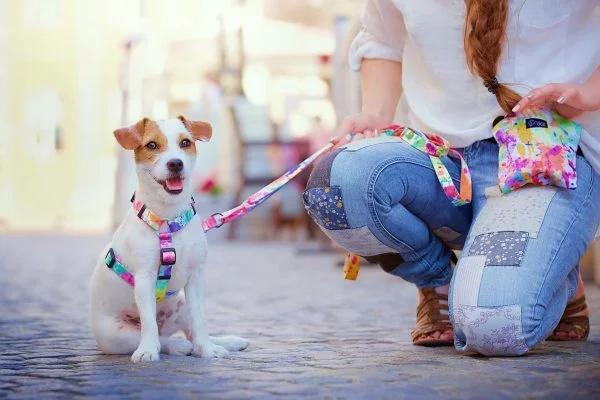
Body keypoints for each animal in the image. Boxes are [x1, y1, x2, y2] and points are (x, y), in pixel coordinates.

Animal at [89, 115, 248, 362]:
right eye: (152, 145)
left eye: (185, 142)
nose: (175, 163)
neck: (168, 221)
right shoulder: (144, 279)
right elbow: (148, 324)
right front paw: (147, 351)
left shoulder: (196, 277)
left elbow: (200, 321)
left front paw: (208, 350)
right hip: (117, 335)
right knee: (159, 337)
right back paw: (175, 346)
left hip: (181, 305)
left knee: (191, 331)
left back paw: (223, 342)